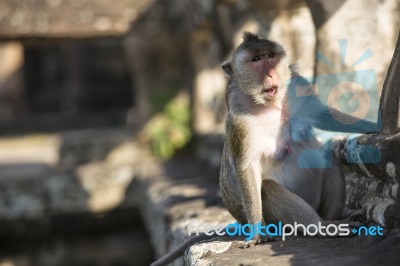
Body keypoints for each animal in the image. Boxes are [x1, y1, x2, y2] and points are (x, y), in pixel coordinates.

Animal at [151, 32, 378, 266]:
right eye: (256, 60)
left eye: (270, 56)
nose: (270, 73)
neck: (272, 104)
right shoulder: (240, 120)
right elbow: (247, 168)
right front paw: (258, 233)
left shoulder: (298, 84)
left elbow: (325, 115)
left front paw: (373, 126)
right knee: (268, 188)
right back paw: (321, 227)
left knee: (328, 155)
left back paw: (334, 219)